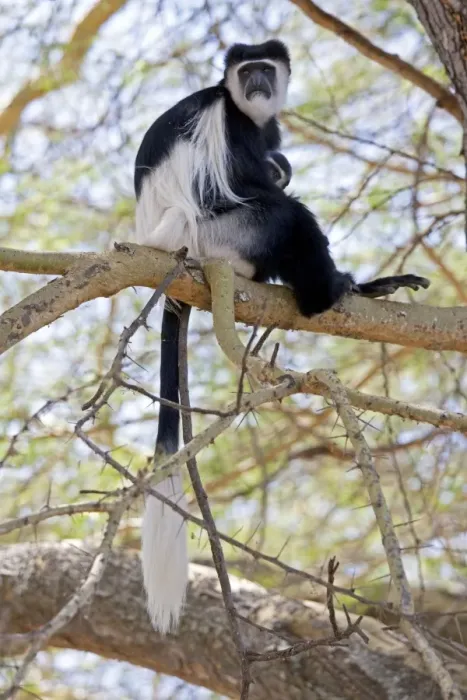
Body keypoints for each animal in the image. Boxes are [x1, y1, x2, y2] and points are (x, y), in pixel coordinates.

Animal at [134, 40, 429, 634]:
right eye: (248, 71)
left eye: (266, 70)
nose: (258, 85)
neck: (244, 111)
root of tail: (167, 250)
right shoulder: (229, 127)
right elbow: (247, 185)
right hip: (217, 237)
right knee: (283, 215)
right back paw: (328, 291)